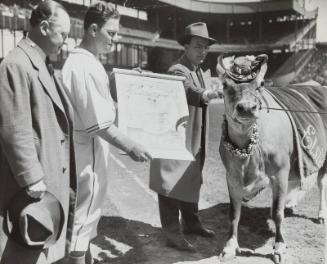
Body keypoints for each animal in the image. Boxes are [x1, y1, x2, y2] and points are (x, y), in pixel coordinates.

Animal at [217, 54, 326, 264]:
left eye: (260, 84)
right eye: (225, 84)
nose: (246, 108)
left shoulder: (280, 172)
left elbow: (277, 213)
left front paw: (280, 247)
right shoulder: (232, 175)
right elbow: (233, 213)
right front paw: (230, 247)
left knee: (321, 182)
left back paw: (321, 214)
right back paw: (291, 203)